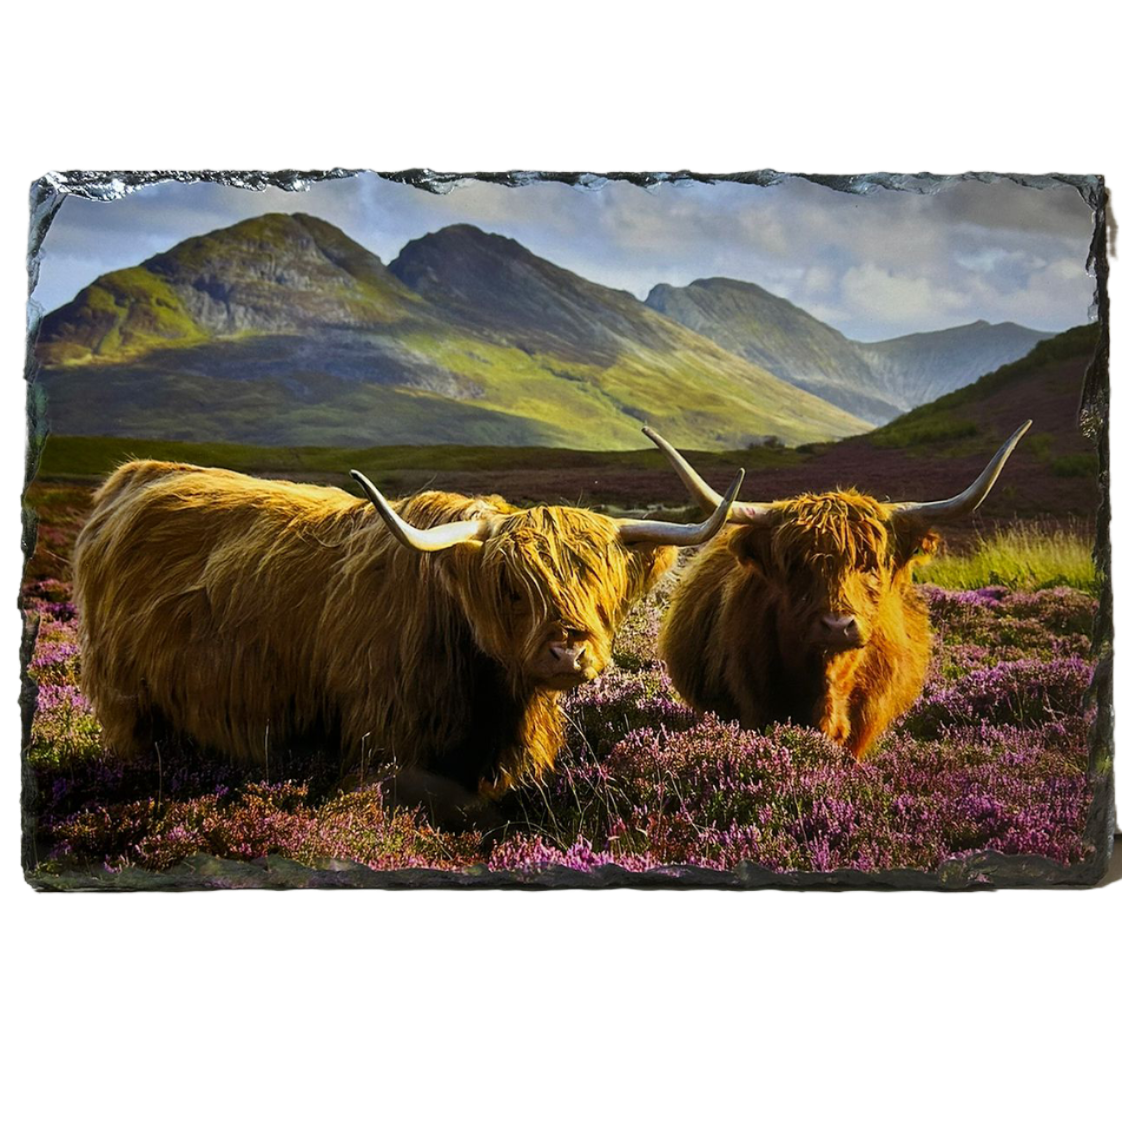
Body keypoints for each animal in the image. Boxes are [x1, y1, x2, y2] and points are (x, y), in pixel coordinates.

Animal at [72, 458, 743, 828]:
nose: (568, 652)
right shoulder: (386, 742)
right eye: (512, 588)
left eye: (600, 583)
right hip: (131, 706)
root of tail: (133, 477)